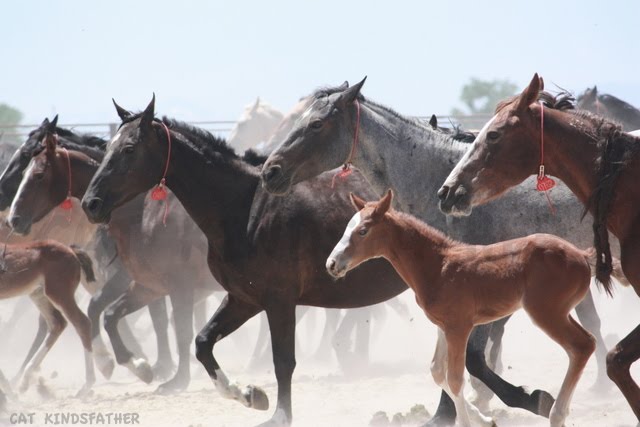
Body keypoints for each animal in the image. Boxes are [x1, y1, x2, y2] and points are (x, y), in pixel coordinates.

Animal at [0, 241, 96, 398]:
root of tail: (71, 251)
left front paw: (8, 391)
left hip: (59, 294)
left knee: (81, 323)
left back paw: (86, 386)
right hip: (38, 294)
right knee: (57, 324)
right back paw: (24, 381)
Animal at [82, 98, 408, 427]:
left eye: (129, 148)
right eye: (108, 147)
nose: (90, 203)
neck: (245, 210)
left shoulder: (278, 301)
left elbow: (282, 360)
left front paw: (280, 415)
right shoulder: (243, 298)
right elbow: (202, 342)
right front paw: (250, 395)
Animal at [328, 191, 612, 427]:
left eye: (363, 231)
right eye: (347, 228)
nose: (331, 264)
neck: (438, 266)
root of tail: (581, 255)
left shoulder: (459, 327)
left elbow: (455, 378)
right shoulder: (443, 327)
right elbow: (437, 371)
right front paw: (484, 419)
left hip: (546, 313)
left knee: (582, 345)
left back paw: (555, 414)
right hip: (559, 312)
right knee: (583, 345)